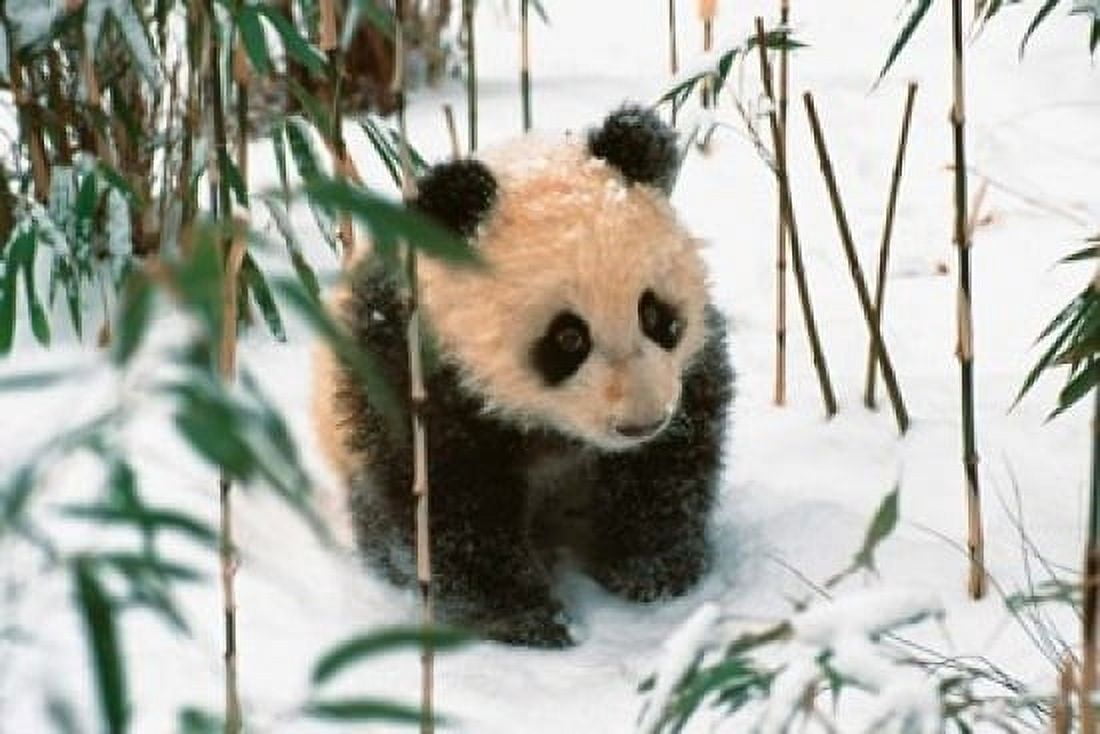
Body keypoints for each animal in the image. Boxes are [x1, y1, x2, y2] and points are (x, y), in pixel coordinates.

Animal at [313, 105, 734, 647]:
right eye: (568, 338)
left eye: (655, 314)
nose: (640, 423)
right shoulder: (411, 372)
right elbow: (447, 505)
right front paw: (528, 619)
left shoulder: (686, 375)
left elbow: (668, 468)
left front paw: (654, 573)